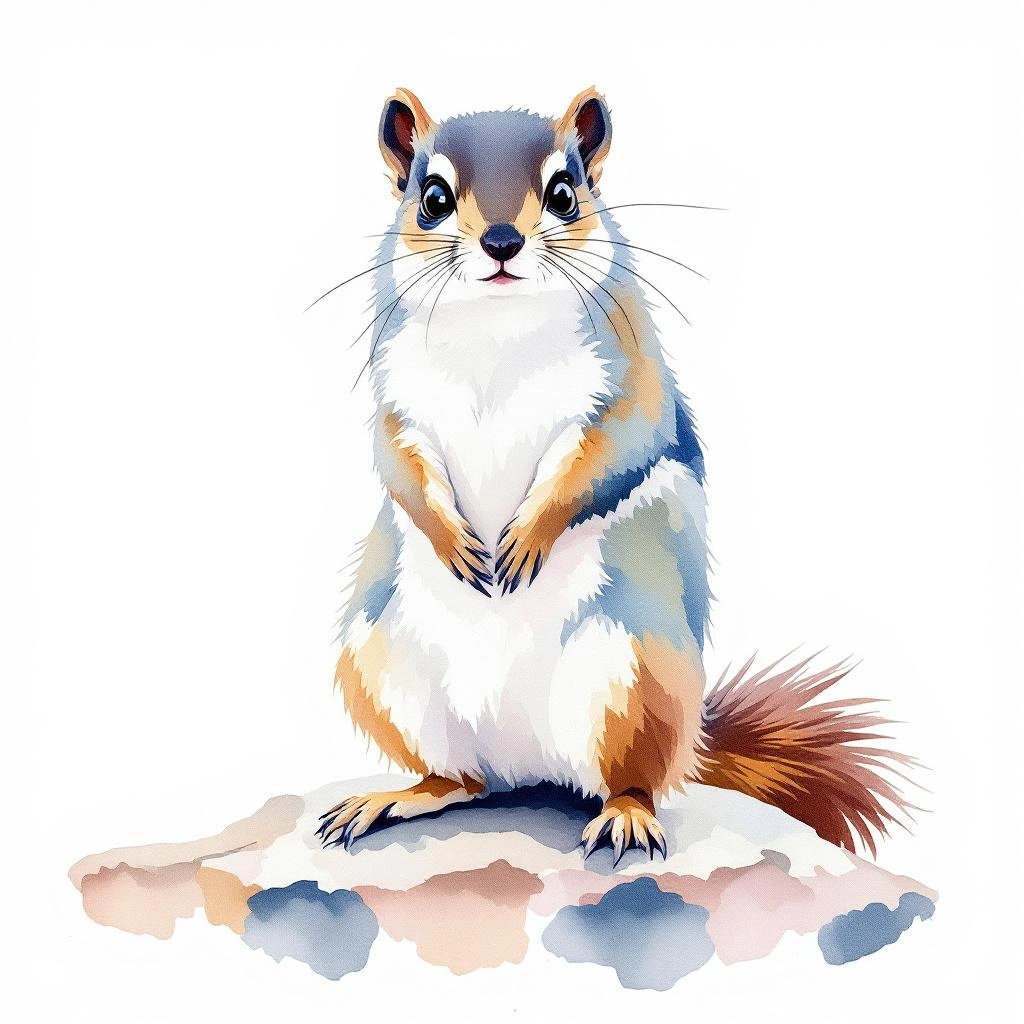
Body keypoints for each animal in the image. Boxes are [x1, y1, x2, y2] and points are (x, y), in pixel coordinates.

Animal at [317, 87, 913, 863]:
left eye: (565, 193)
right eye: (433, 198)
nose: (502, 242)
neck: (497, 329)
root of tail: (526, 763)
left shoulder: (630, 378)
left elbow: (616, 447)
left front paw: (526, 538)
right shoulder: (398, 399)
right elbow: (396, 460)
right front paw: (455, 540)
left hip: (635, 675)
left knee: (636, 777)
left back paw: (626, 815)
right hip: (382, 670)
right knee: (464, 780)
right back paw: (400, 796)